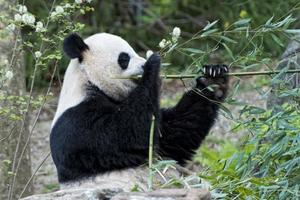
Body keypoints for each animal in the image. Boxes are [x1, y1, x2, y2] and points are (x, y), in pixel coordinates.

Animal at [50, 32, 229, 190]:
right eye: (124, 58)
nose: (143, 64)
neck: (90, 82)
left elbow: (176, 135)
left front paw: (213, 79)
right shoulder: (76, 123)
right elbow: (127, 134)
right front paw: (153, 64)